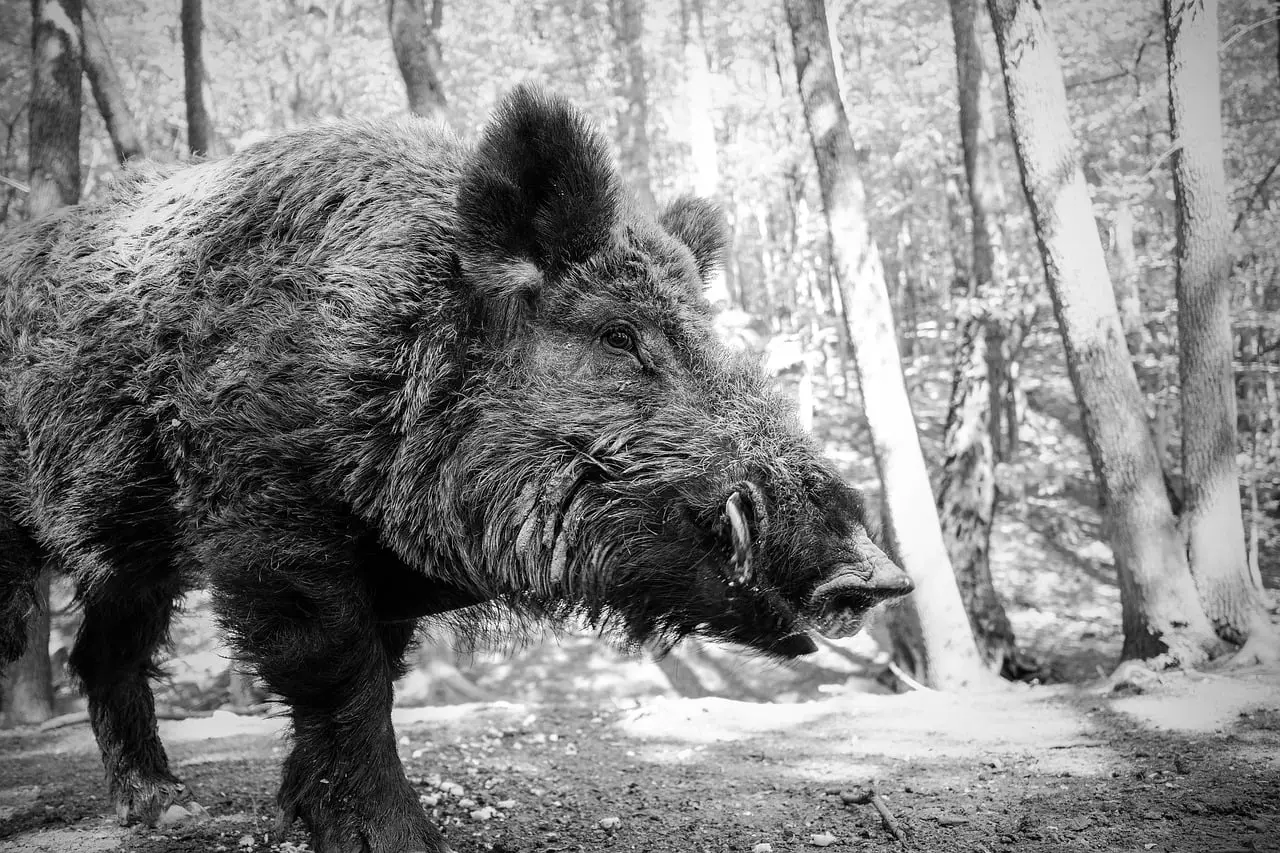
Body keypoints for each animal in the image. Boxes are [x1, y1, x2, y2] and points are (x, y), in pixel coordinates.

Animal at [0, 86, 912, 853]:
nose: (878, 575)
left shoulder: (384, 565)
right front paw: (401, 841)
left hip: (130, 552)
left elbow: (381, 671)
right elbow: (340, 671)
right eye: (619, 335)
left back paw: (165, 807)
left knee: (102, 652)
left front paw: (301, 814)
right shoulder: (265, 510)